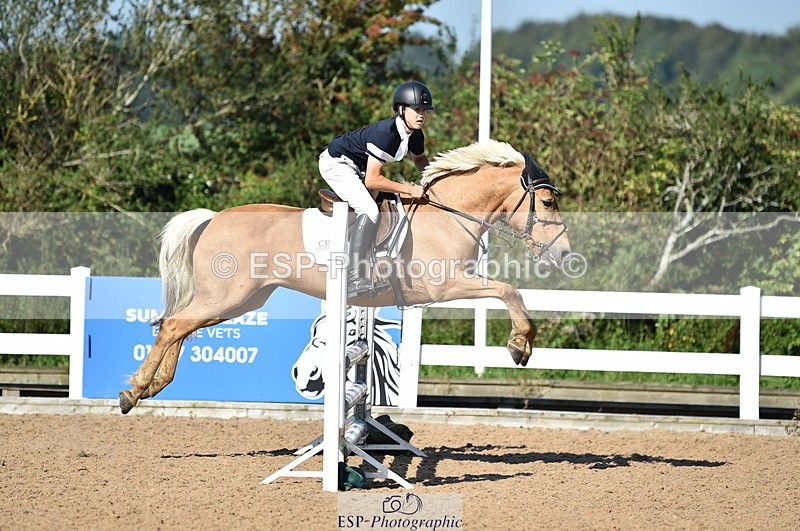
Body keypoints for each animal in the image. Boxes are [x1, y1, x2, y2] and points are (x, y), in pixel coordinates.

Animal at [118, 139, 572, 414]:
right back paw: (133, 391)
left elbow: (507, 290)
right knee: (174, 325)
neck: (448, 216)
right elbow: (508, 290)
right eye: (548, 202)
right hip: (226, 296)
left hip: (240, 300)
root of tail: (213, 217)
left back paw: (153, 387)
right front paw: (520, 346)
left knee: (179, 327)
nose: (564, 253)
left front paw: (521, 344)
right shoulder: (445, 285)